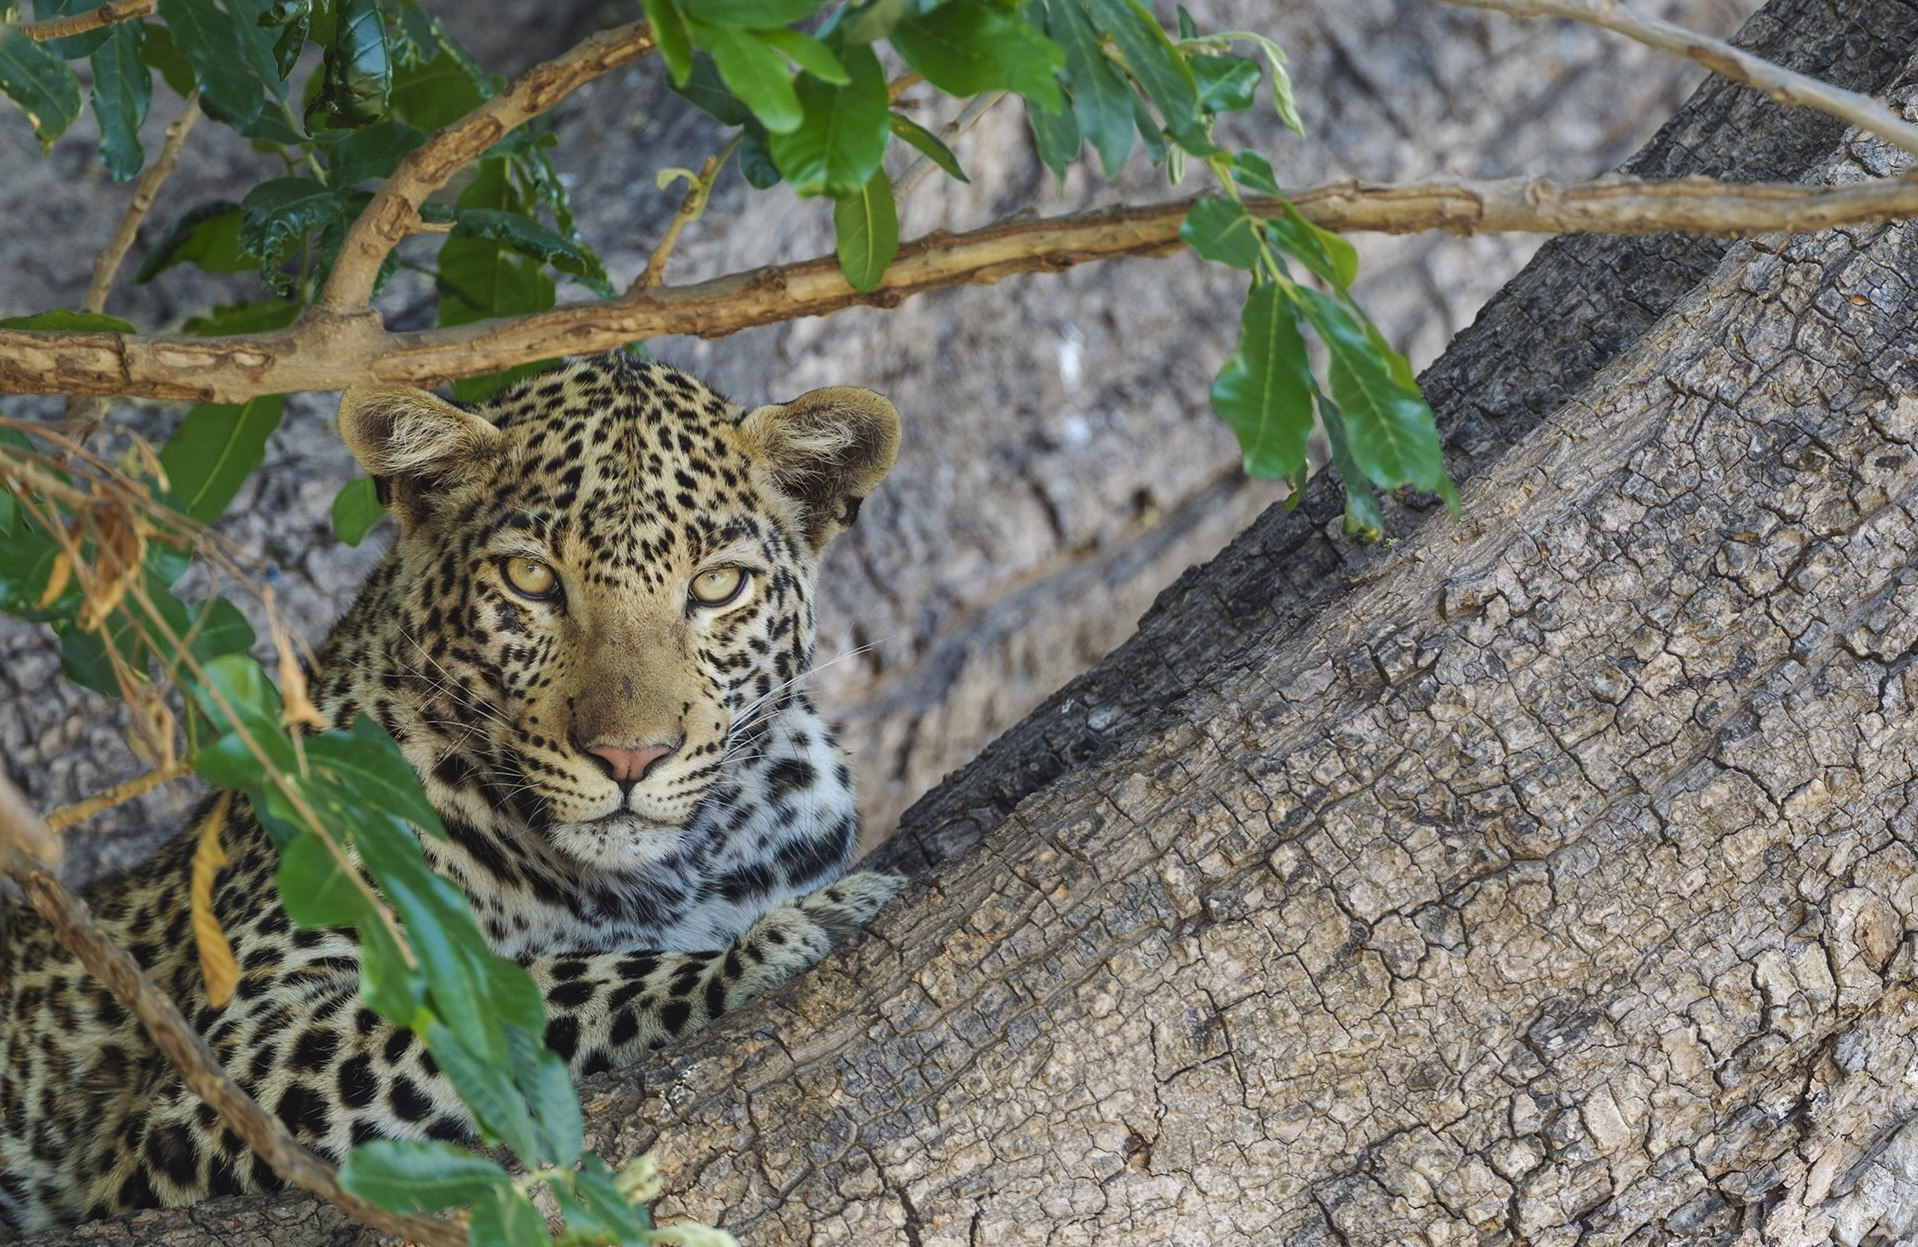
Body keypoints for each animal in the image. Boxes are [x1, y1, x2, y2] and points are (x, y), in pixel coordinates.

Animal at [0, 352, 905, 1235]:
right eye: (530, 577)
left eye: (717, 586)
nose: (629, 756)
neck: (659, 877)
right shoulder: (233, 1049)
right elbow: (532, 992)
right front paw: (778, 939)